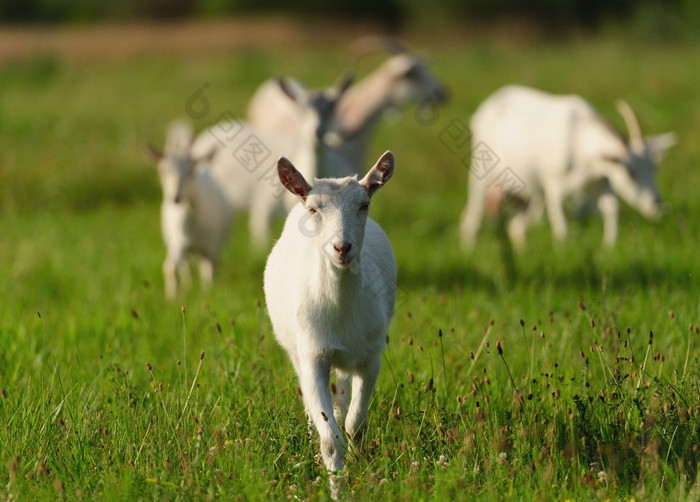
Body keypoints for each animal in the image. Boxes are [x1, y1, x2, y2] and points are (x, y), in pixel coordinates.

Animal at [150, 121, 232, 298]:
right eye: (163, 171)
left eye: (189, 171)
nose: (175, 197)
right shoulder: (178, 242)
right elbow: (170, 268)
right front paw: (172, 297)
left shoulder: (212, 247)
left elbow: (209, 272)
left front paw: (209, 292)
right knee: (185, 267)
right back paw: (188, 285)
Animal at [264, 149, 396, 494]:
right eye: (313, 208)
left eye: (364, 205)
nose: (342, 247)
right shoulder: (313, 354)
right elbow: (330, 439)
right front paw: (338, 487)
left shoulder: (371, 355)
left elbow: (356, 425)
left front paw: (362, 469)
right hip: (297, 350)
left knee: (344, 392)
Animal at [456, 87, 676, 251]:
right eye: (630, 171)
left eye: (654, 169)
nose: (656, 204)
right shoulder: (554, 187)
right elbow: (561, 226)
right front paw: (564, 251)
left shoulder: (601, 183)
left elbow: (611, 209)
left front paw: (609, 246)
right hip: (481, 169)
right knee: (474, 209)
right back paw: (468, 246)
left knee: (516, 225)